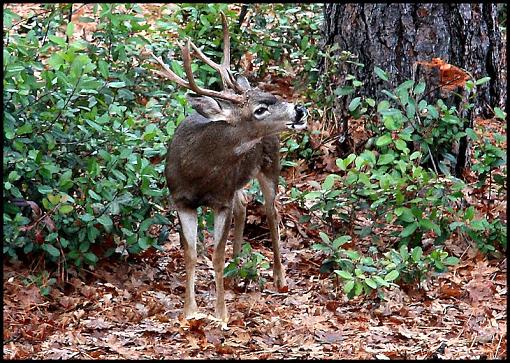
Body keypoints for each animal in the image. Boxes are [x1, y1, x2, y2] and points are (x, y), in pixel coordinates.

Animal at [147, 13, 306, 324]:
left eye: (270, 96)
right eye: (259, 109)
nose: (299, 110)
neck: (199, 172)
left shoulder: (221, 200)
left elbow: (216, 255)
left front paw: (220, 315)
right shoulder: (181, 200)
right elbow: (190, 254)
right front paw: (189, 312)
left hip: (270, 165)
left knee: (271, 211)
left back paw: (279, 277)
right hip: (239, 181)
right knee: (244, 204)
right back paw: (237, 268)